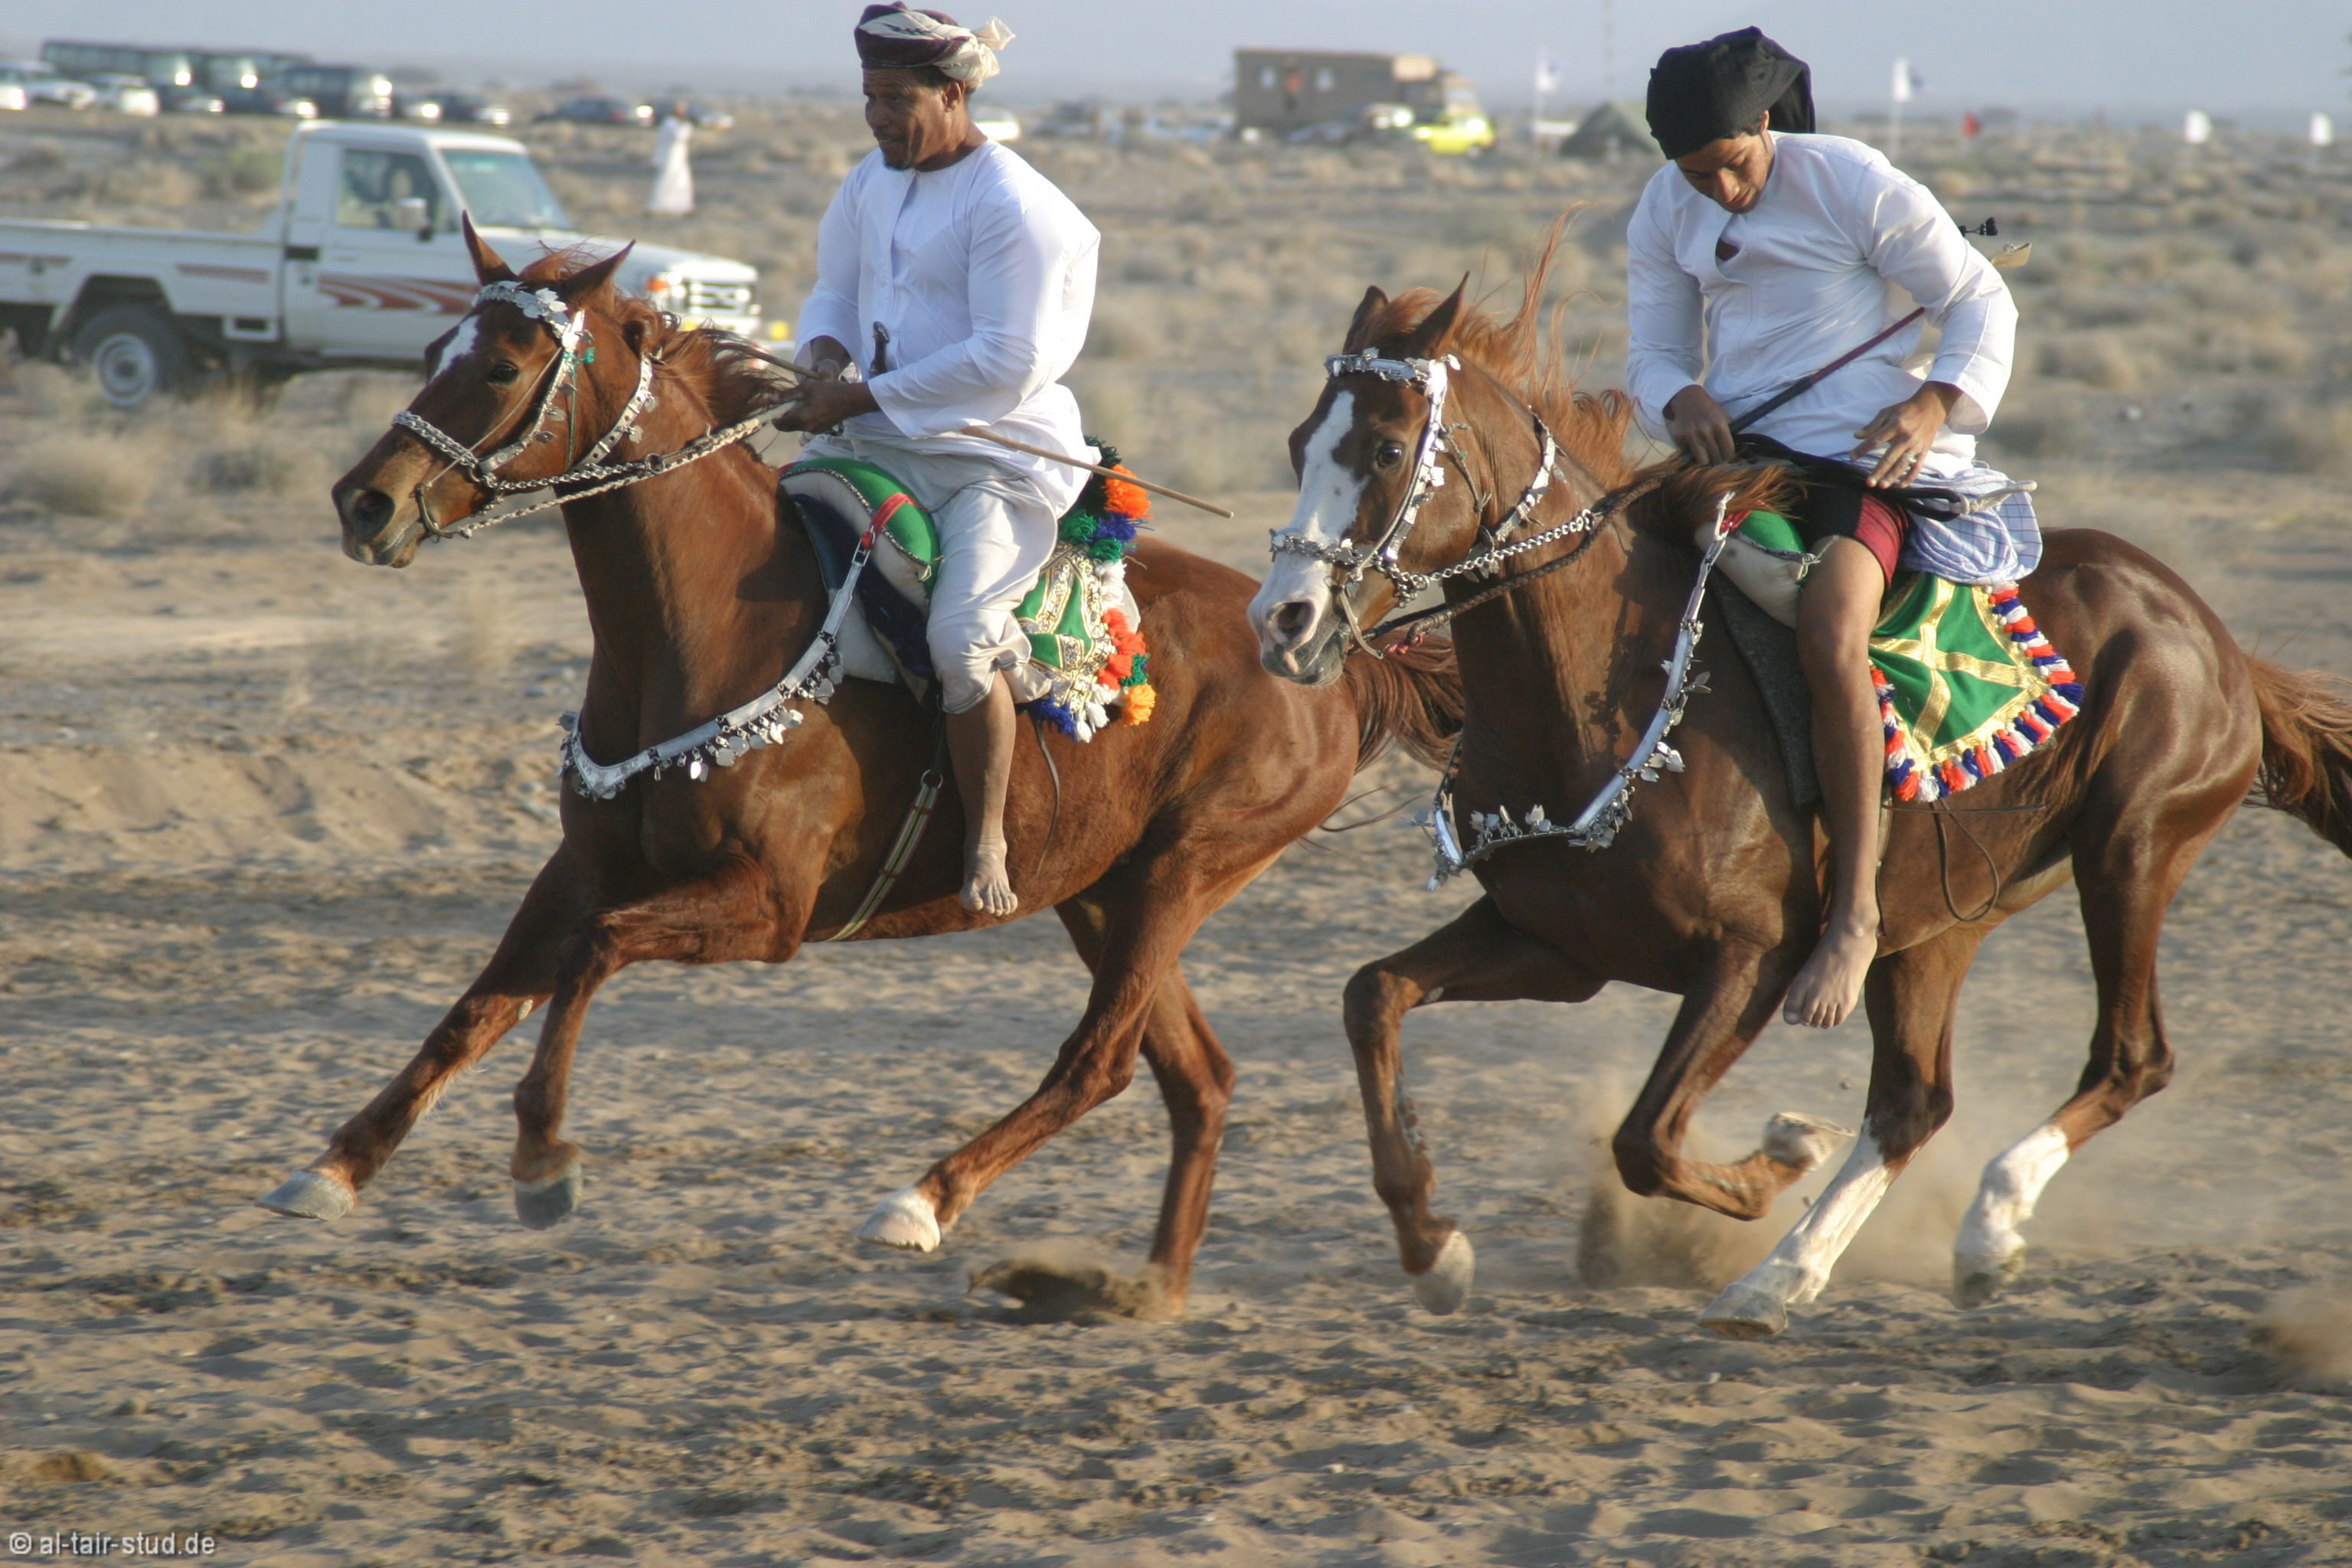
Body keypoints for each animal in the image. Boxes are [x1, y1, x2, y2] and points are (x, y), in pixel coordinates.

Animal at [267, 225, 1461, 1314]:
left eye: (506, 368)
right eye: (437, 347)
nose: (364, 502)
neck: (706, 631)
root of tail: (1334, 656)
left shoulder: (770, 907)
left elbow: (593, 957)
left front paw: (542, 1159)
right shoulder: (583, 868)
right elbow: (477, 1006)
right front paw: (336, 1166)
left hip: (1187, 870)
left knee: (1100, 1060)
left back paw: (925, 1201)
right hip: (1101, 889)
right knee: (1195, 1077)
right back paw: (1146, 1286)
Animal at [1247, 255, 2352, 1338]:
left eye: (1388, 450)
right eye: (1301, 441)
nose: (1285, 621)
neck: (1612, 690)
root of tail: (2214, 636)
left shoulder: (1752, 957)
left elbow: (1646, 1140)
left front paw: (1782, 1154)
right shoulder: (1560, 945)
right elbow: (1371, 997)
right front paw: (1434, 1247)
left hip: (2129, 851)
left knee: (2130, 1058)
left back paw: (1983, 1228)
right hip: (1939, 923)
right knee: (1914, 1102)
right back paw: (1782, 1279)